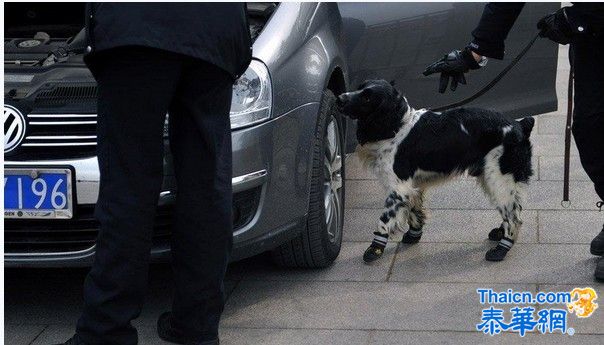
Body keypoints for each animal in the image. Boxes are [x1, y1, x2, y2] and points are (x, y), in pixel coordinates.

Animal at [338, 80, 536, 262]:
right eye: (359, 87)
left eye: (367, 97)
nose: (339, 98)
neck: (397, 125)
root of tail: (520, 125)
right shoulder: (412, 186)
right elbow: (414, 212)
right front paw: (413, 236)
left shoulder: (398, 189)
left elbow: (384, 220)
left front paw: (375, 248)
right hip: (493, 178)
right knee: (514, 208)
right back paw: (499, 233)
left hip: (499, 179)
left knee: (514, 218)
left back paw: (501, 250)